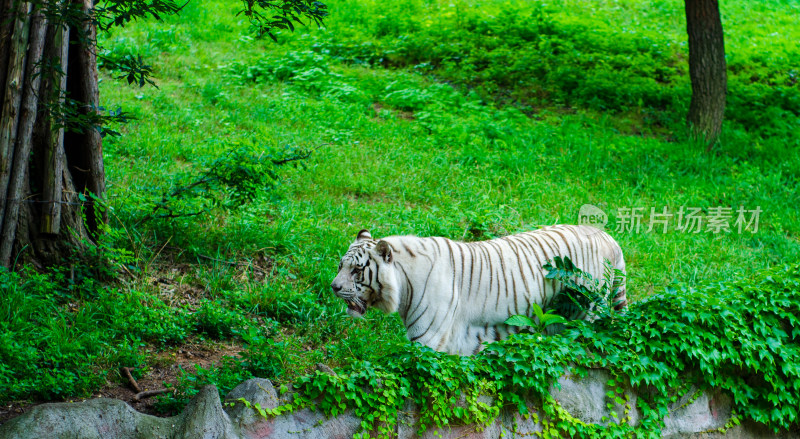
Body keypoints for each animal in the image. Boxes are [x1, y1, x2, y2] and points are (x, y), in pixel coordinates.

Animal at [330, 225, 624, 356]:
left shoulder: (426, 339)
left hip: (586, 313)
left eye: (356, 271)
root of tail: (608, 236)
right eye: (341, 265)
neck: (404, 285)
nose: (333, 287)